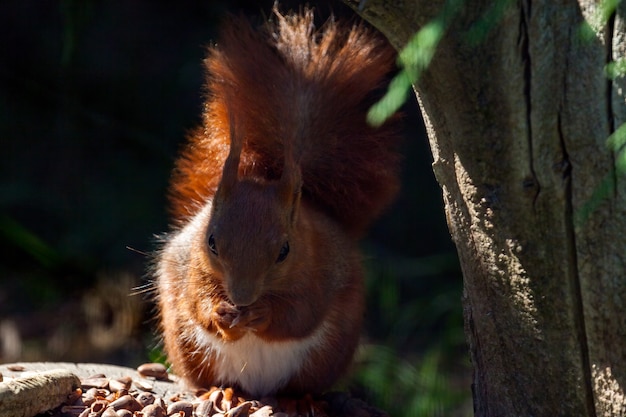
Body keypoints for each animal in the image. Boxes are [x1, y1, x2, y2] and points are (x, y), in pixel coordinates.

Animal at [155, 8, 400, 394]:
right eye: (211, 242)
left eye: (285, 251)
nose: (241, 298)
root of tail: (258, 388)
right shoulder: (192, 267)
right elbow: (198, 303)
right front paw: (220, 313)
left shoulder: (321, 272)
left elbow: (299, 314)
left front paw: (263, 314)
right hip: (185, 343)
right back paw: (218, 391)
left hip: (327, 355)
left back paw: (300, 399)